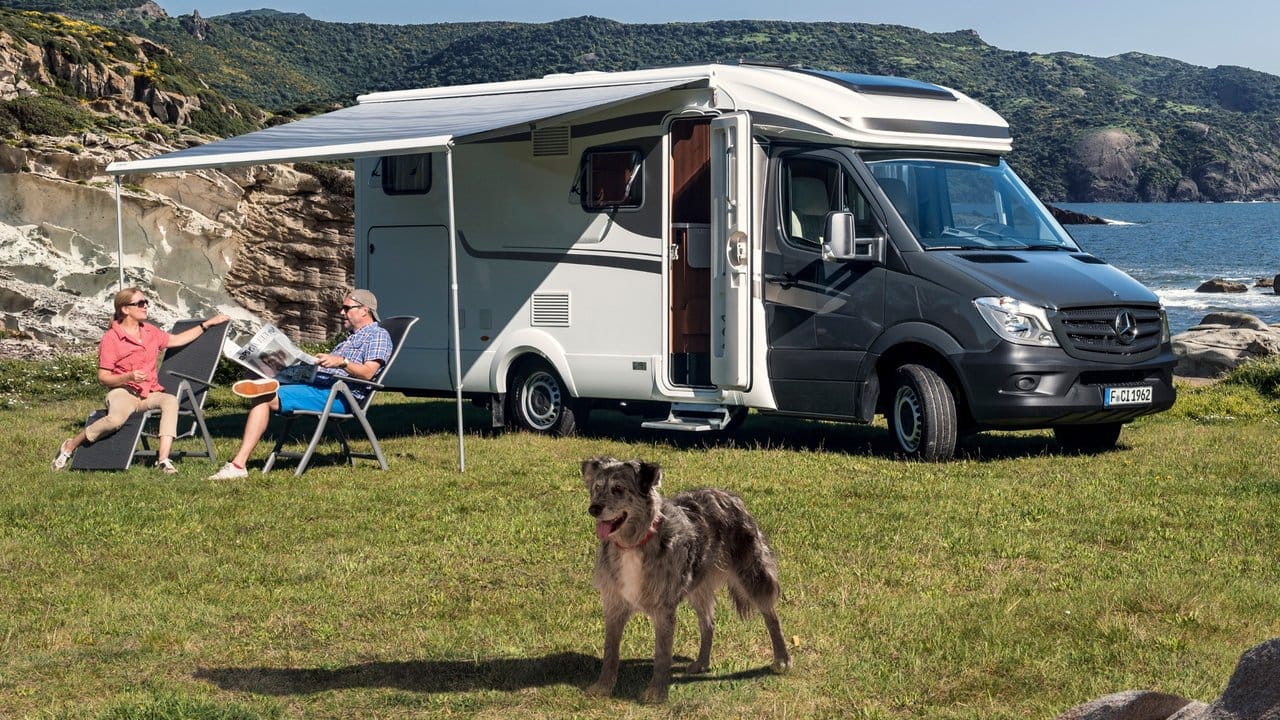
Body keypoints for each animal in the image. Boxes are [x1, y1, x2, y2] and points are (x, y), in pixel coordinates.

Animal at [583, 453, 788, 702]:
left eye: (618, 489)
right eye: (597, 488)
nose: (594, 509)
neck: (634, 544)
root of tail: (729, 496)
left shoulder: (664, 608)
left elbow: (662, 655)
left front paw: (656, 692)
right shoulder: (614, 603)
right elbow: (610, 652)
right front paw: (602, 687)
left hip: (752, 576)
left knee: (772, 617)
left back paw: (782, 659)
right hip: (698, 588)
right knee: (708, 623)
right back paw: (701, 662)